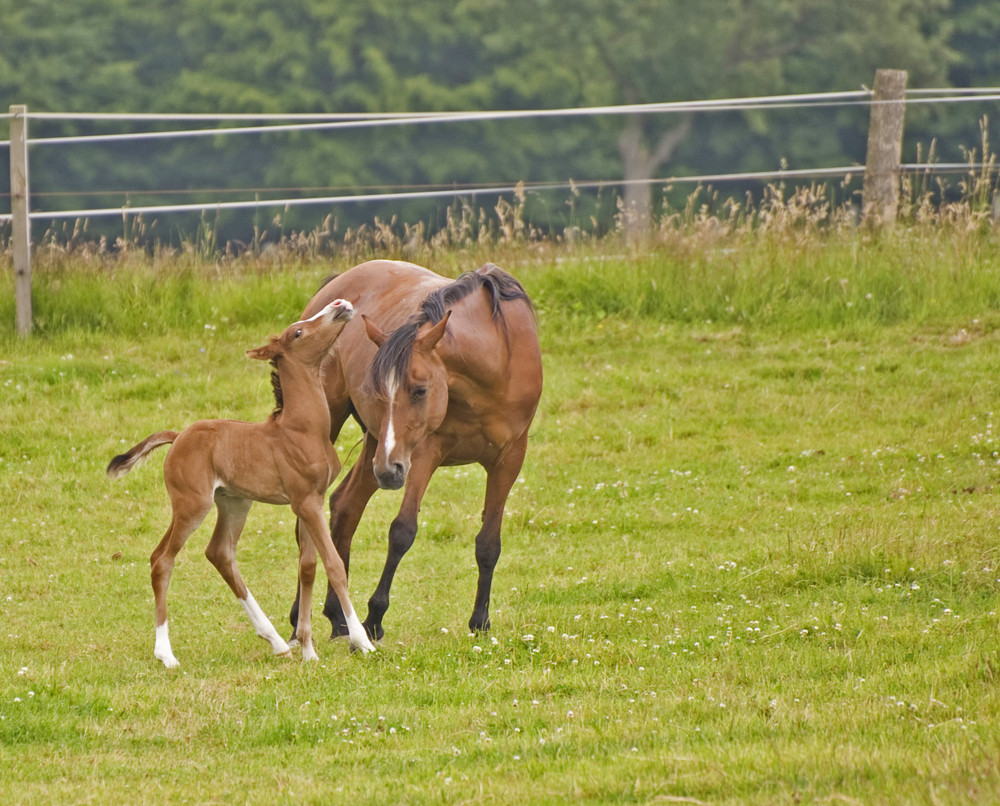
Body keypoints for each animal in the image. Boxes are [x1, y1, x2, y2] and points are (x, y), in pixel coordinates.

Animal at [107, 300, 376, 664]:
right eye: (298, 332)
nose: (339, 304)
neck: (301, 429)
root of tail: (178, 437)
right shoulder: (306, 502)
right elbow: (334, 564)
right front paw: (361, 641)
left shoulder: (311, 500)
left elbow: (307, 567)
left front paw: (307, 650)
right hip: (193, 504)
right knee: (162, 559)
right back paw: (166, 654)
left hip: (234, 501)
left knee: (220, 552)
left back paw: (276, 641)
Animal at [286, 262, 544, 640]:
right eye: (377, 391)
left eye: (420, 390)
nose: (388, 472)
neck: (497, 359)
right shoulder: (424, 453)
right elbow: (402, 531)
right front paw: (374, 618)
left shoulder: (509, 459)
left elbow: (489, 542)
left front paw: (480, 622)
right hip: (346, 432)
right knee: (309, 521)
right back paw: (300, 621)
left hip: (377, 445)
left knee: (346, 508)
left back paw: (339, 619)